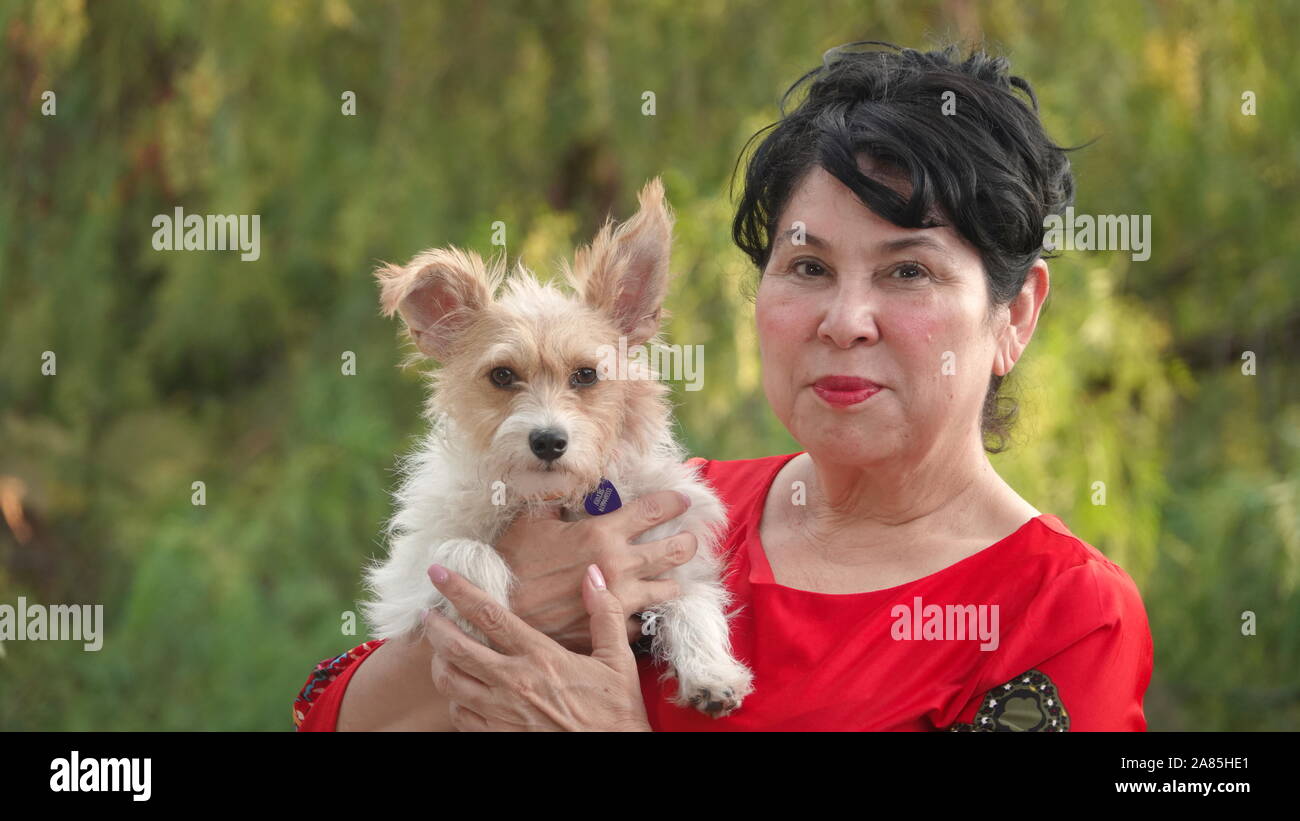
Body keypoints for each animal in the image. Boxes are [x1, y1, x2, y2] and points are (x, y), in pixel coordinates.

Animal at [361, 176, 759, 717]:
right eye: (502, 376)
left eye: (586, 375)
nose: (548, 441)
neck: (552, 497)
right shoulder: (400, 591)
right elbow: (461, 551)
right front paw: (479, 610)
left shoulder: (668, 559)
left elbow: (691, 601)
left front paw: (711, 673)